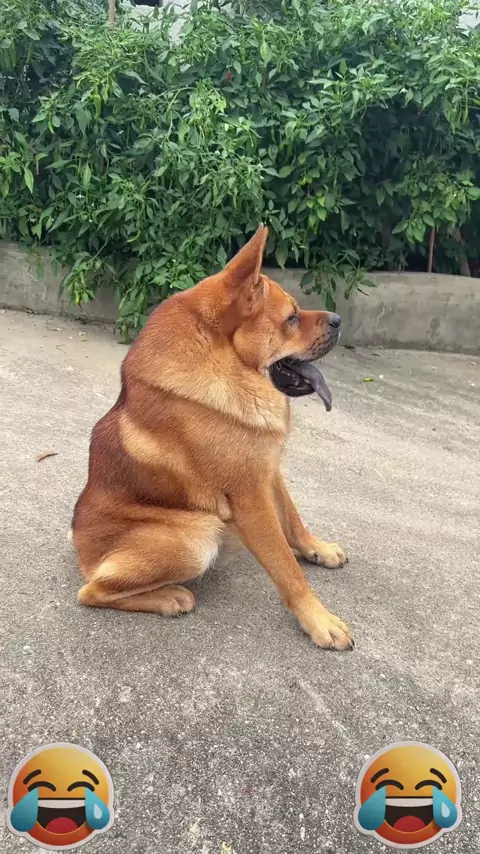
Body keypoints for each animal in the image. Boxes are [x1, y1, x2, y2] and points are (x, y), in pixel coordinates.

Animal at [71, 225, 353, 651]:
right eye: (290, 318)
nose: (337, 319)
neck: (229, 364)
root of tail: (79, 545)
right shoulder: (251, 498)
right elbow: (287, 568)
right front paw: (318, 619)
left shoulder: (268, 470)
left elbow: (293, 518)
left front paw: (315, 549)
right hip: (197, 537)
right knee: (91, 592)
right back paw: (169, 597)